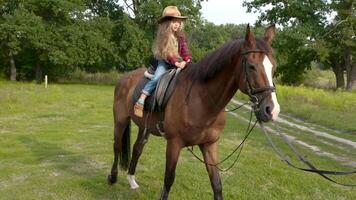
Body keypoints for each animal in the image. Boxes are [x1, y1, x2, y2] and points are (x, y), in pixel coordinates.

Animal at [107, 25, 280, 200]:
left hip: (145, 126)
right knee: (117, 145)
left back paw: (131, 180)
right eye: (251, 66)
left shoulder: (209, 145)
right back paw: (112, 177)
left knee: (137, 148)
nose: (272, 110)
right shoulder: (174, 144)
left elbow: (216, 184)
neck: (201, 99)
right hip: (120, 120)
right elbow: (168, 181)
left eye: (274, 67)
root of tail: (125, 78)